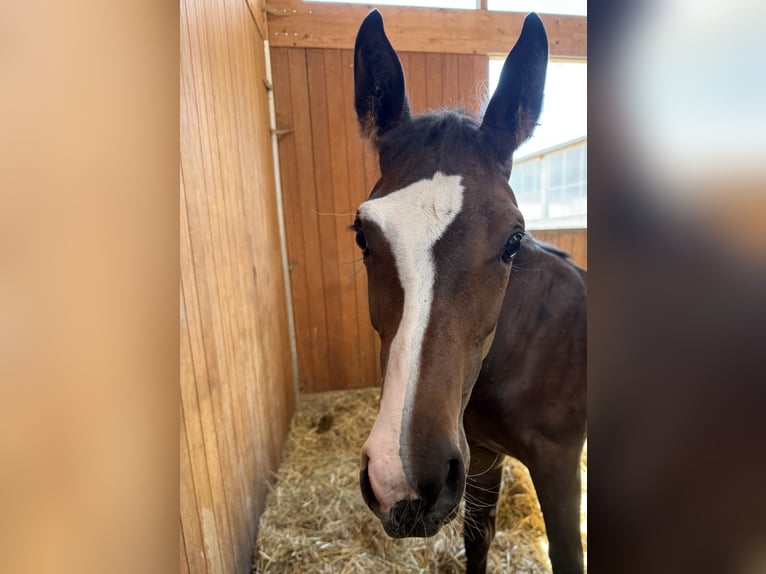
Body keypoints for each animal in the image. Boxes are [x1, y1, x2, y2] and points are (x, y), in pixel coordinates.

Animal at [351, 10, 586, 574]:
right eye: (362, 234)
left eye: (513, 240)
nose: (405, 481)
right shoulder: (478, 452)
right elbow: (478, 537)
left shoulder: (560, 464)